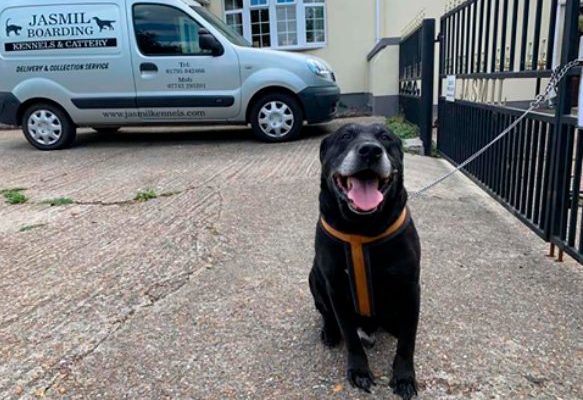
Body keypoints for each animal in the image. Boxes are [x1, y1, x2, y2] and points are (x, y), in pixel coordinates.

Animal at [308, 123, 422, 398]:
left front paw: (404, 377)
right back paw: (330, 331)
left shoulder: (410, 288)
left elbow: (407, 340)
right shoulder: (336, 289)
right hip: (313, 277)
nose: (370, 150)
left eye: (386, 137)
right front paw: (359, 371)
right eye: (345, 136)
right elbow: (349, 335)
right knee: (325, 312)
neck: (362, 227)